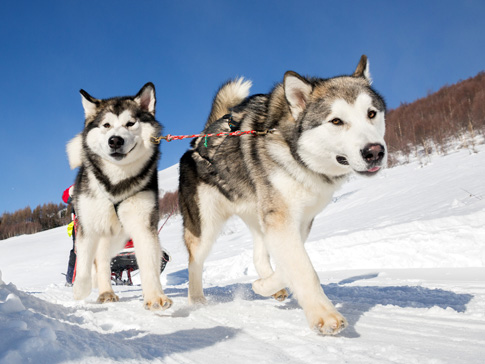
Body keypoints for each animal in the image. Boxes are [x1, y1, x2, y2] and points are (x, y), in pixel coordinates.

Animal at [65, 82, 172, 310]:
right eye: (106, 125)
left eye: (130, 123)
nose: (115, 140)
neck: (115, 182)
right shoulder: (87, 226)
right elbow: (84, 261)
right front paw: (81, 289)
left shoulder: (142, 224)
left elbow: (149, 262)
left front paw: (155, 296)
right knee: (96, 260)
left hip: (117, 238)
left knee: (104, 259)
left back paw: (106, 290)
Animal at [178, 55, 386, 334]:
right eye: (336, 121)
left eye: (371, 114)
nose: (374, 151)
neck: (294, 153)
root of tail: (199, 140)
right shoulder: (282, 220)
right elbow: (304, 268)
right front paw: (325, 315)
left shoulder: (297, 221)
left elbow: (290, 264)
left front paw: (264, 285)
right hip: (206, 227)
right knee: (195, 262)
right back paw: (197, 299)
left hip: (257, 213)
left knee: (258, 253)